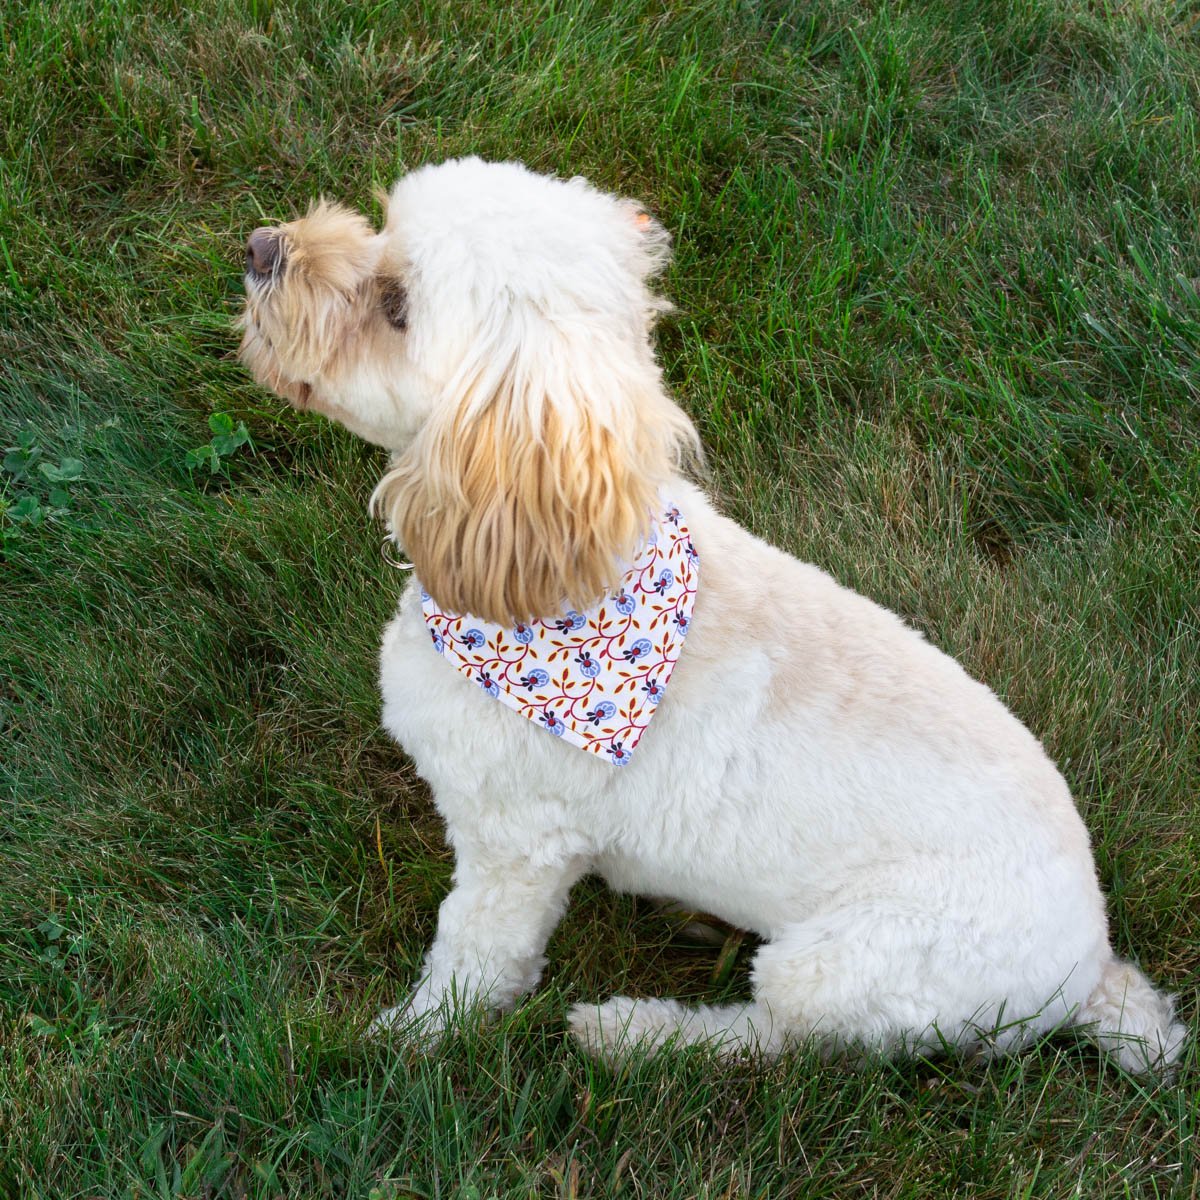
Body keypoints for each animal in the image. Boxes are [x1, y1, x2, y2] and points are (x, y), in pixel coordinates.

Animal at [238, 157, 1185, 1070]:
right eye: (381, 225)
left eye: (396, 306)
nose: (260, 247)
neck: (570, 593)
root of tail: (1091, 968)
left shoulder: (517, 848)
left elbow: (476, 962)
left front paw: (411, 1038)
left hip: (845, 971)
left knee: (777, 1045)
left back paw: (634, 1034)